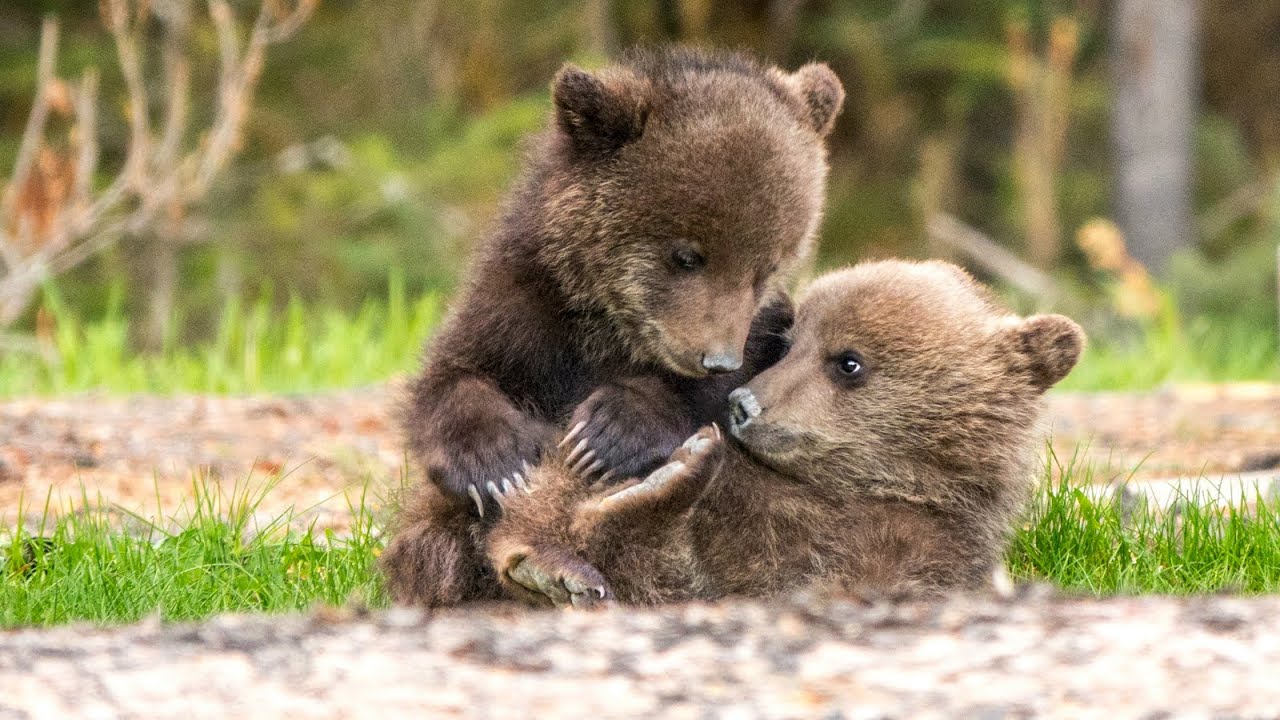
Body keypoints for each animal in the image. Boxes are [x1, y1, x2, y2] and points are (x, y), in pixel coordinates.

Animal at [381, 46, 846, 606]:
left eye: (767, 266)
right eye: (686, 255)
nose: (715, 357)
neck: (608, 327)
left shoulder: (760, 336)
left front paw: (607, 433)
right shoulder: (521, 311)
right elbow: (453, 378)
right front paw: (495, 462)